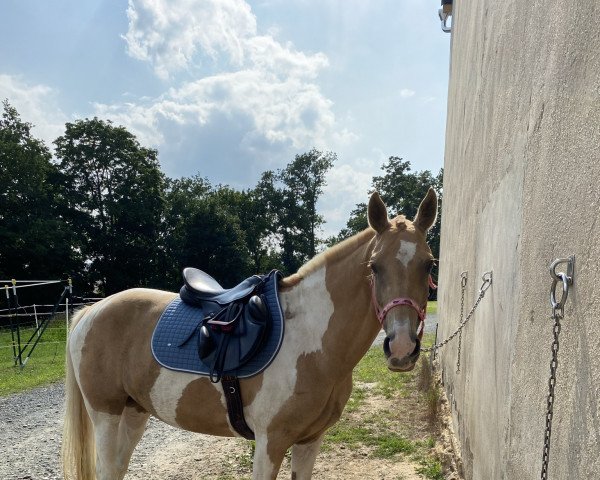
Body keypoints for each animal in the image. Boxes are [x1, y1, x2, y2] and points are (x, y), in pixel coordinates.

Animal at [62, 188, 436, 480]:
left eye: (429, 264)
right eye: (374, 267)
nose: (402, 348)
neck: (312, 342)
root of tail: (90, 311)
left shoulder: (309, 441)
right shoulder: (270, 443)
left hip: (134, 411)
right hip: (105, 413)